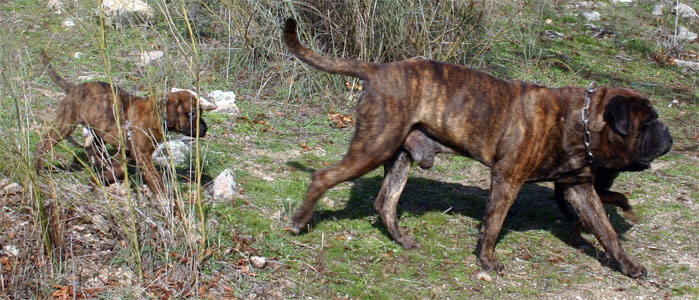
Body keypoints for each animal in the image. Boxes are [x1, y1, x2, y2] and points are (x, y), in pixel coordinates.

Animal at [36, 51, 208, 197]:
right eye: (192, 113)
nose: (205, 129)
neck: (155, 116)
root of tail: (74, 88)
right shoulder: (142, 155)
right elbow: (154, 178)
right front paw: (165, 198)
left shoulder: (127, 152)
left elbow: (115, 169)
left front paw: (100, 179)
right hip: (65, 125)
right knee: (44, 144)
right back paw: (38, 168)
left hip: (96, 134)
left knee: (94, 151)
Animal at [284, 18, 672, 276]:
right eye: (647, 122)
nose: (667, 132)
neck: (579, 120)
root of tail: (377, 70)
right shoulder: (507, 178)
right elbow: (495, 222)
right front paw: (487, 259)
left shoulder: (579, 189)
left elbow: (607, 231)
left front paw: (628, 264)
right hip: (374, 147)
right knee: (323, 177)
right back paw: (300, 220)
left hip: (400, 157)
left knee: (385, 202)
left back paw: (402, 240)